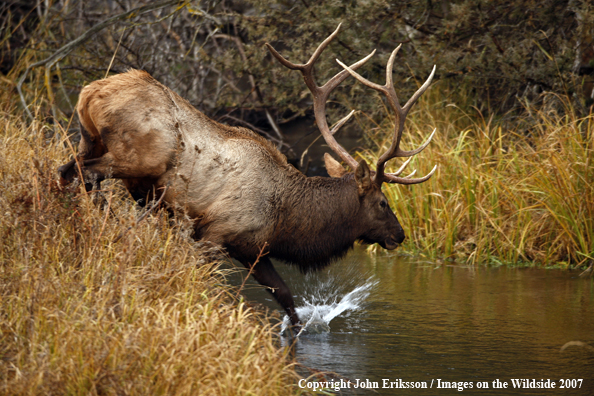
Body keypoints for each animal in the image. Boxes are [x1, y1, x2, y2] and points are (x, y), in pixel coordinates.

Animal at [57, 25, 434, 328]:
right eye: (383, 202)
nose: (400, 234)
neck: (288, 219)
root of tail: (89, 92)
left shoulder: (254, 249)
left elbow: (286, 298)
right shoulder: (217, 232)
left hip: (89, 141)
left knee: (67, 172)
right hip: (134, 159)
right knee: (80, 174)